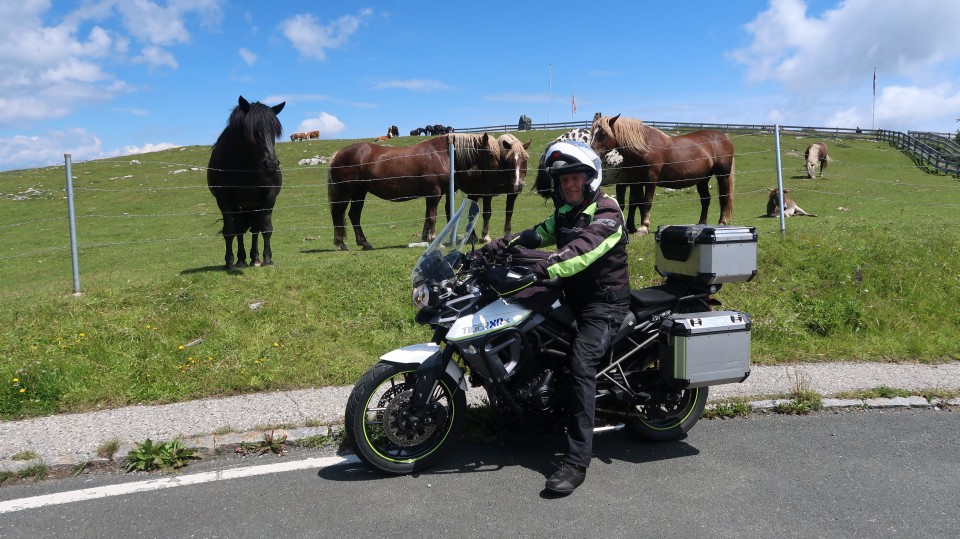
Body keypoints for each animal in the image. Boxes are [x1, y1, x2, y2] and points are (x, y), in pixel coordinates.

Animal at [207, 96, 284, 270]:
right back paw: (241, 260)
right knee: (240, 230)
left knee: (254, 229)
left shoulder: (269, 196)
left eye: (274, 132)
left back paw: (254, 258)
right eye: (252, 132)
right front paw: (229, 261)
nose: (271, 164)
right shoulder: (223, 198)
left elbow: (266, 228)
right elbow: (230, 230)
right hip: (240, 206)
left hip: (253, 206)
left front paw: (268, 260)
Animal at [592, 114, 736, 234]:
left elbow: (647, 202)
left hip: (722, 176)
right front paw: (639, 226)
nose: (592, 152)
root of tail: (725, 138)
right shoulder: (636, 180)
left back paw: (722, 223)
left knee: (723, 198)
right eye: (593, 133)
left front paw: (644, 227)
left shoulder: (651, 179)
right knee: (706, 199)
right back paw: (702, 224)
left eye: (603, 133)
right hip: (703, 179)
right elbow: (638, 202)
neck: (644, 146)